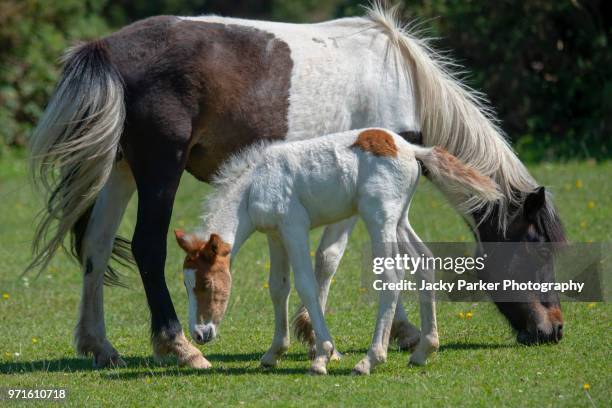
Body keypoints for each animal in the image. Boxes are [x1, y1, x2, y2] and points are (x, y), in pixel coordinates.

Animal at [175, 129, 500, 374]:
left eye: (206, 284)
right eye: (187, 285)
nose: (200, 334)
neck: (255, 185)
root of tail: (409, 148)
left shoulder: (294, 227)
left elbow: (306, 285)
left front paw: (323, 356)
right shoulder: (275, 235)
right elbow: (279, 288)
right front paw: (274, 352)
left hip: (378, 216)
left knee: (392, 276)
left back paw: (370, 360)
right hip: (400, 219)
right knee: (425, 262)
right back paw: (424, 350)